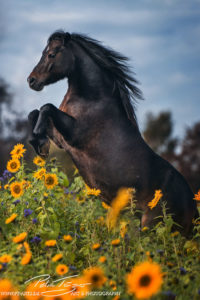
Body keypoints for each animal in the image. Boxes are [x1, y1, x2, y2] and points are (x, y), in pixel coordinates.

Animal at [27, 31, 198, 236]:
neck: (94, 98)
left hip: (152, 226)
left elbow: (46, 107)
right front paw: (39, 144)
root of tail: (192, 207)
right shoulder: (61, 138)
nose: (31, 80)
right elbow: (34, 112)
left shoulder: (74, 135)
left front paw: (40, 142)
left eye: (52, 54)